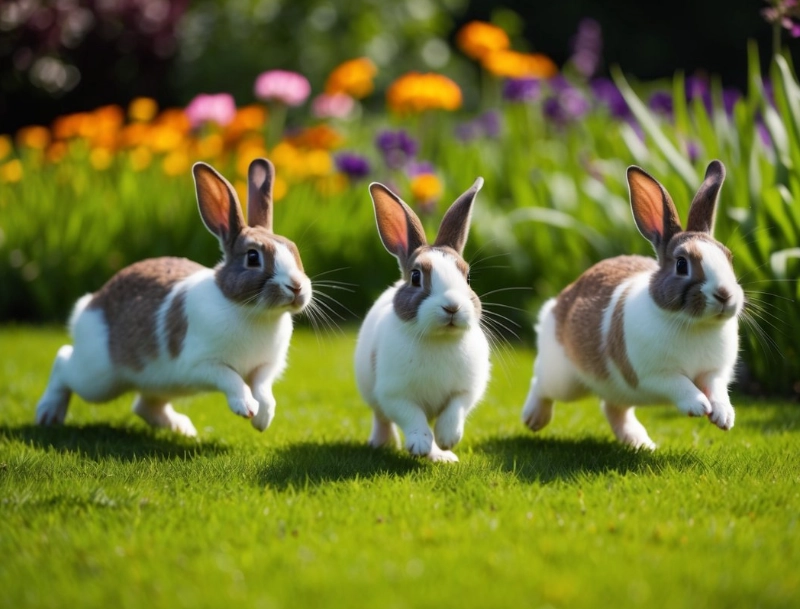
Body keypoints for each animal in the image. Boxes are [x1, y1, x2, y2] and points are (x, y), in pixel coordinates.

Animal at [35, 158, 311, 436]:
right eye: (253, 257)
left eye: (294, 249)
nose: (297, 287)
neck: (251, 311)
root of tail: (89, 304)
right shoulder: (204, 364)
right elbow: (232, 379)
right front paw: (246, 408)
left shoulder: (263, 368)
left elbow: (264, 391)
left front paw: (262, 419)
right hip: (97, 377)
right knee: (63, 361)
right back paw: (48, 414)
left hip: (159, 383)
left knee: (145, 405)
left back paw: (183, 429)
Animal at [354, 178, 491, 463]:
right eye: (416, 277)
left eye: (468, 278)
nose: (452, 307)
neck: (439, 339)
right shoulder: (395, 395)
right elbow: (412, 418)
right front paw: (419, 445)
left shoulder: (466, 390)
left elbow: (454, 411)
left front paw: (448, 439)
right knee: (382, 419)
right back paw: (383, 444)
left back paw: (443, 456)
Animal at [521, 160, 743, 450]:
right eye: (682, 264)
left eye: (729, 258)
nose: (725, 295)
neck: (694, 324)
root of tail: (558, 303)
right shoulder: (655, 375)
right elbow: (680, 384)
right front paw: (698, 406)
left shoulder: (714, 372)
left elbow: (717, 389)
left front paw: (723, 417)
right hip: (564, 379)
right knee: (541, 384)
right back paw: (533, 418)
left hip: (615, 390)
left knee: (614, 409)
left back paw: (640, 443)